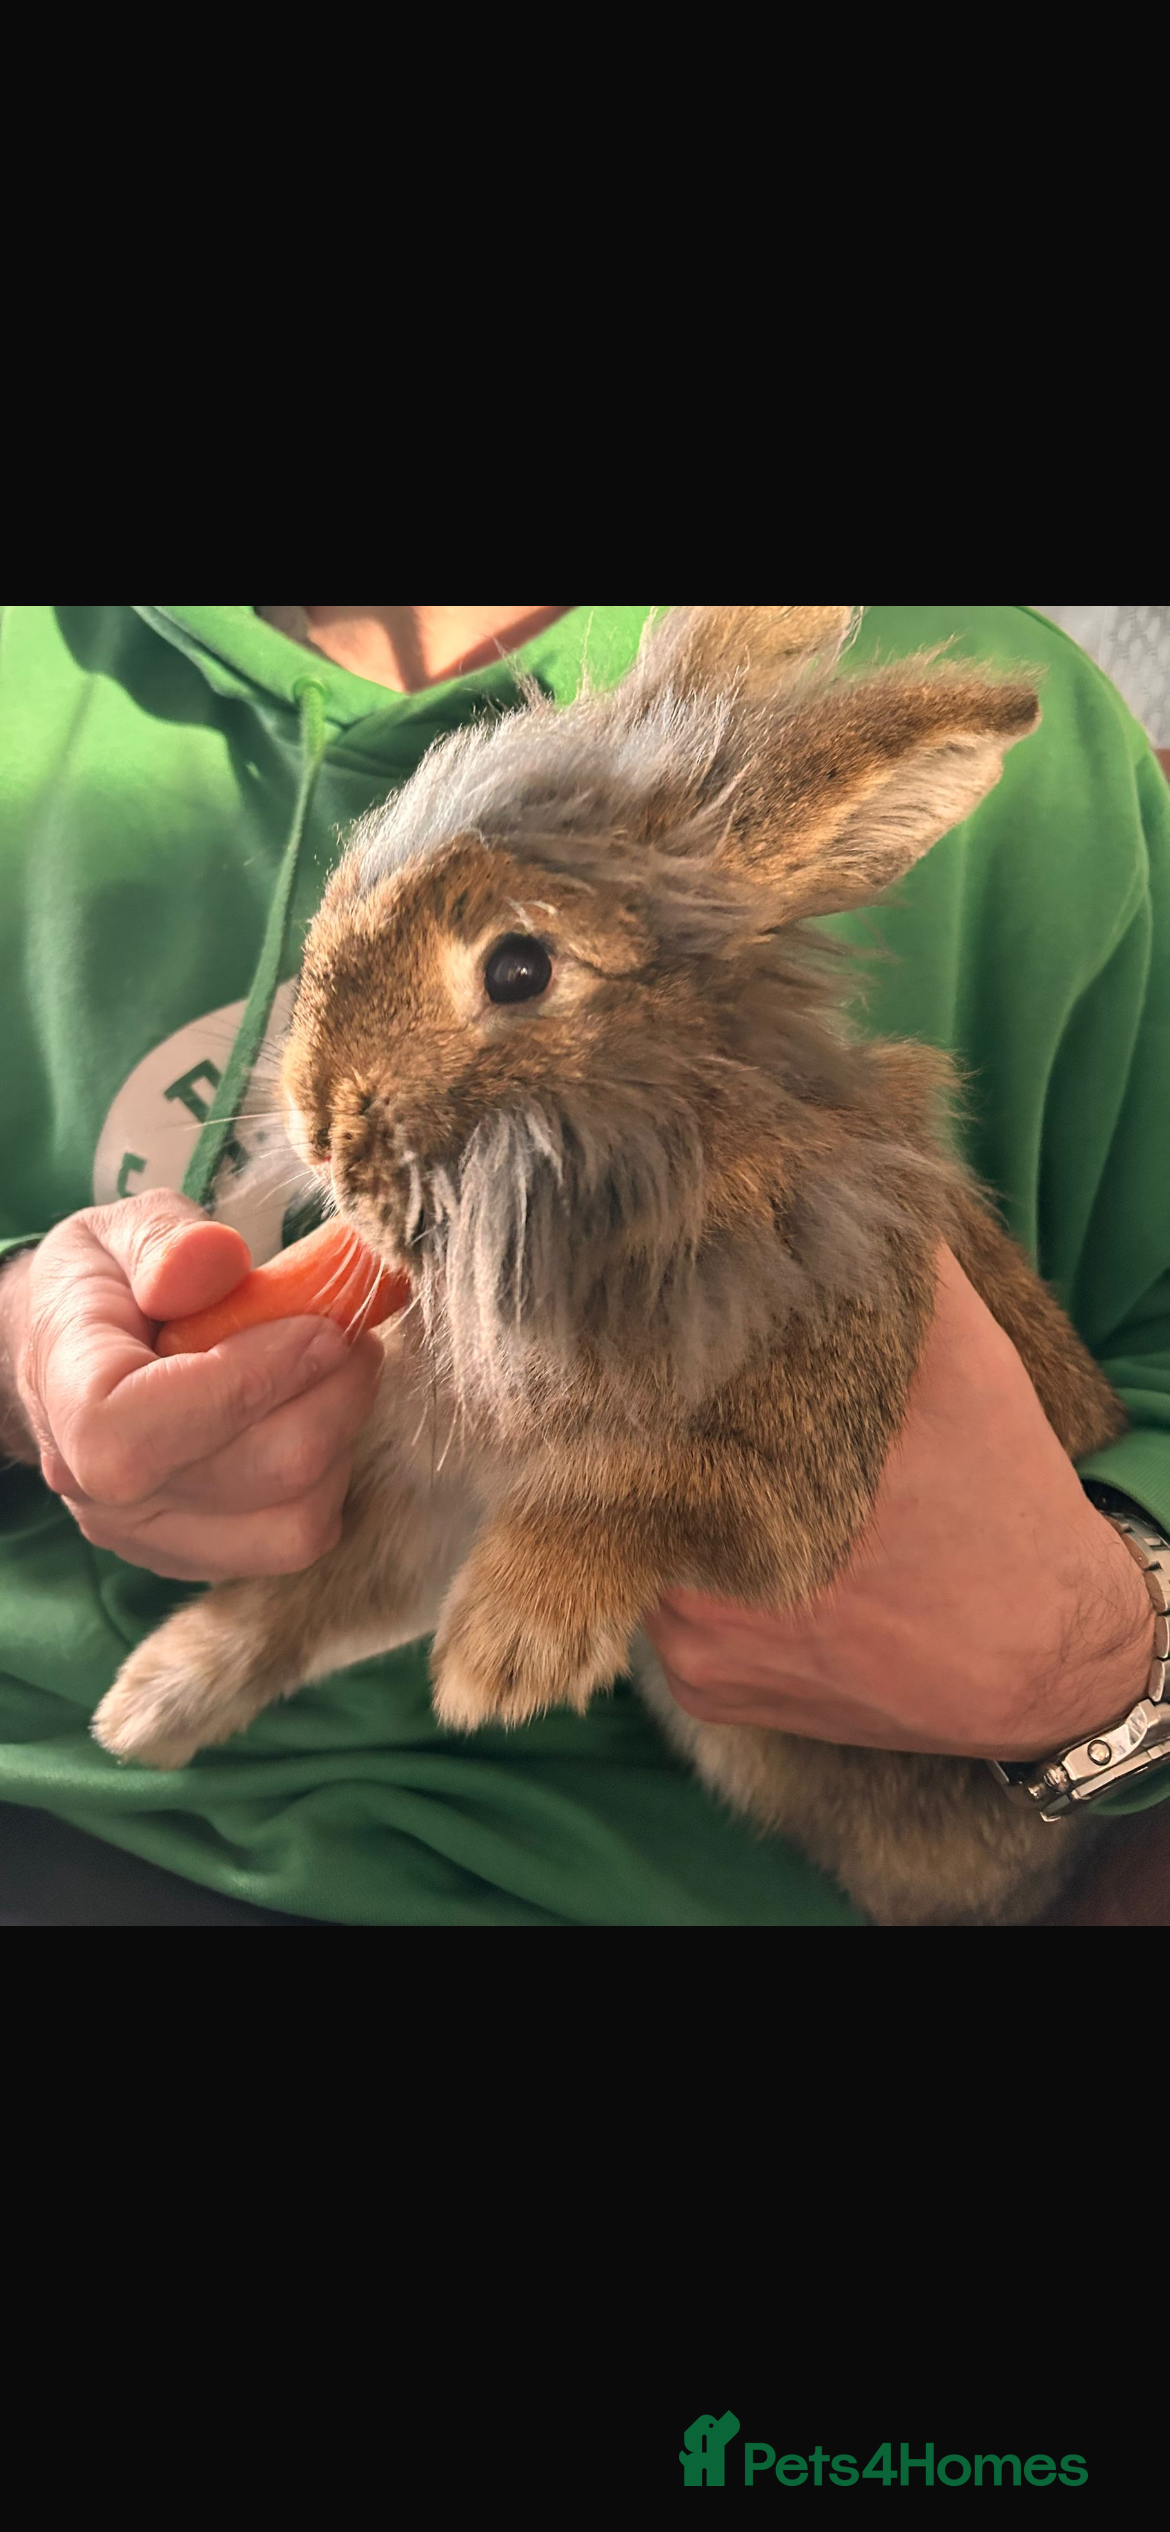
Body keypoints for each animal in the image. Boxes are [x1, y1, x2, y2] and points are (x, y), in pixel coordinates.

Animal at [91, 604, 1127, 1926]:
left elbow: (647, 1486)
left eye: (519, 970)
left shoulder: (806, 1445)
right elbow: (316, 1592)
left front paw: (501, 1654)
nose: (318, 1123)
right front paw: (150, 1702)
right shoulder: (436, 1497)